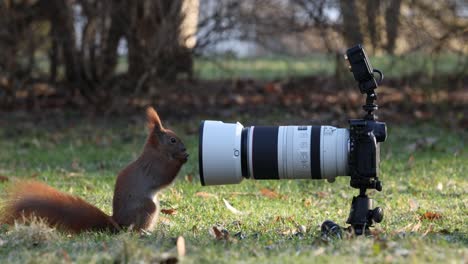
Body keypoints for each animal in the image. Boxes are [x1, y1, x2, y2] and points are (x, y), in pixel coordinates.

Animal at [1, 107, 190, 233]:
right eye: (172, 140)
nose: (184, 148)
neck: (157, 152)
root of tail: (117, 223)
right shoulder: (154, 166)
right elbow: (165, 175)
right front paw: (183, 158)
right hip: (148, 207)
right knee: (133, 229)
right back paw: (144, 232)